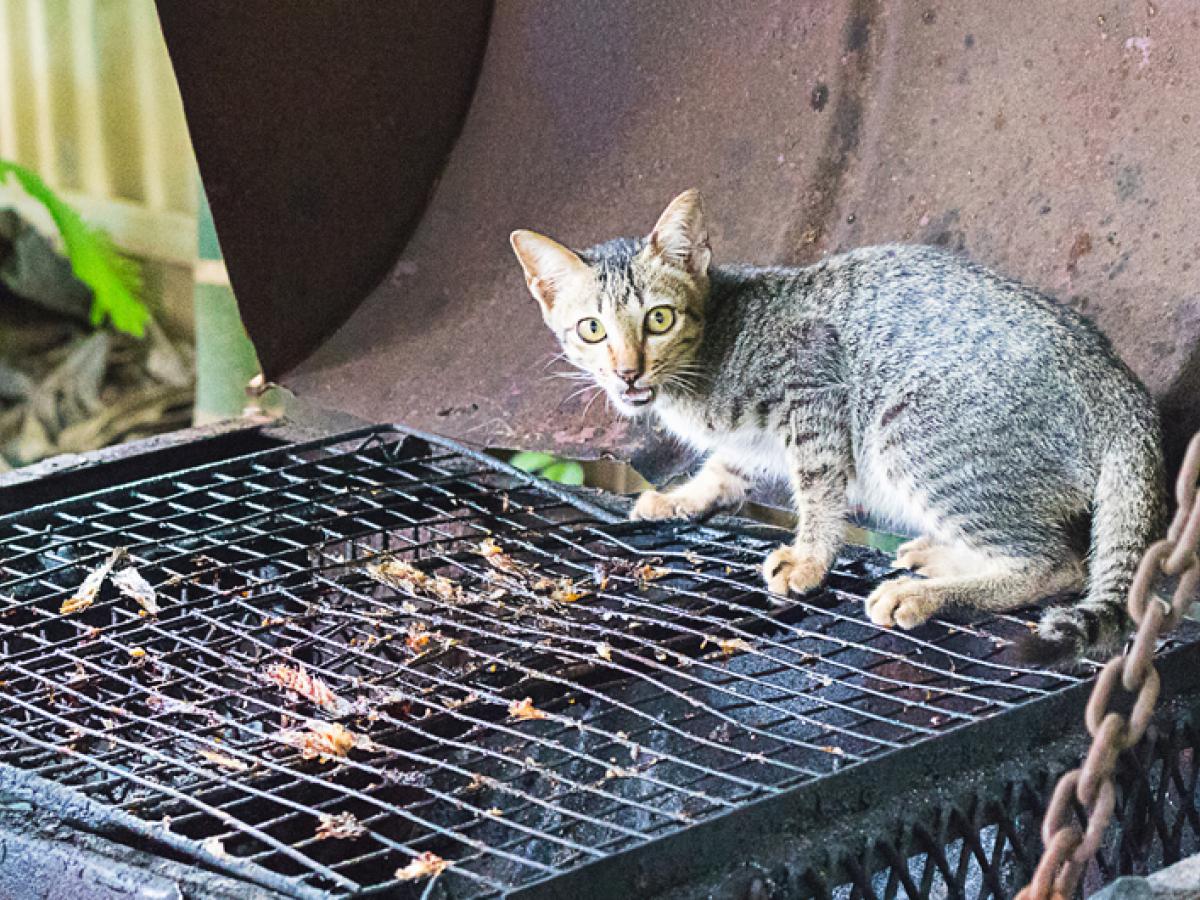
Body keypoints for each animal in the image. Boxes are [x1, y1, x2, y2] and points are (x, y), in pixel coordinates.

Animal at [511, 190, 1166, 662]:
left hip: (911, 430)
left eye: (659, 319)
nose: (626, 373)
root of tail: (1118, 383)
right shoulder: (752, 439)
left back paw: (926, 595)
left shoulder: (813, 387)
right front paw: (680, 498)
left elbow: (817, 487)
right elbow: (725, 467)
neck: (714, 343)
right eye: (591, 329)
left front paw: (810, 558)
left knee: (1058, 564)